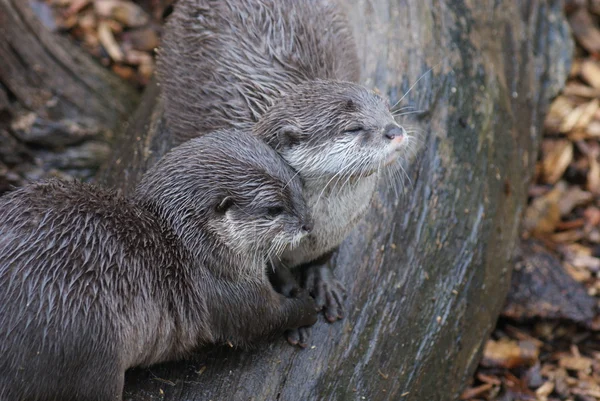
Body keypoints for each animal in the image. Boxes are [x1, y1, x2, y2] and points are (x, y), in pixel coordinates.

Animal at [0, 130, 318, 398]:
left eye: (299, 184)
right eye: (274, 209)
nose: (309, 224)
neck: (192, 245)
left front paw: (291, 280)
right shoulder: (224, 286)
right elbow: (264, 319)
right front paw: (308, 305)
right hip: (93, 353)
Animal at [159, 0, 412, 346]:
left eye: (386, 107)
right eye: (354, 128)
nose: (394, 131)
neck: (325, 225)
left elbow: (325, 256)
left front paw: (322, 281)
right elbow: (276, 272)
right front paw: (295, 302)